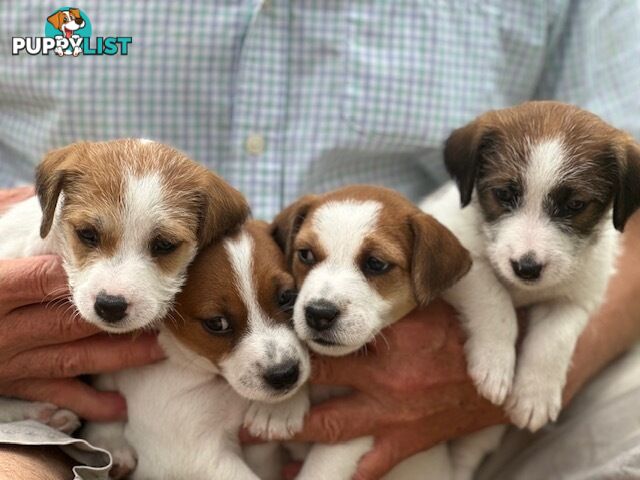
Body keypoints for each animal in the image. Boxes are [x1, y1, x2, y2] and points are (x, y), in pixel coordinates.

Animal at [268, 186, 472, 480]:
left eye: (375, 263)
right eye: (305, 254)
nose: (318, 313)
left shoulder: (361, 423)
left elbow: (320, 469)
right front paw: (282, 406)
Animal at [420, 100, 640, 476]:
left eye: (575, 205)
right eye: (504, 194)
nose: (526, 268)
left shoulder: (576, 298)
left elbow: (554, 338)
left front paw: (535, 394)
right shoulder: (458, 259)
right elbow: (495, 302)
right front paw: (495, 363)